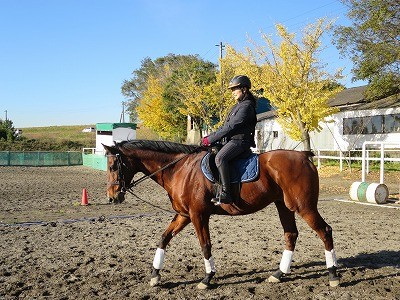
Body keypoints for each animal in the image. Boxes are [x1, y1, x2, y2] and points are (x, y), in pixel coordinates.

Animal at [102, 140, 338, 288]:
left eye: (113, 166)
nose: (112, 197)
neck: (180, 169)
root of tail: (304, 157)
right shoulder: (184, 215)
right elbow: (164, 238)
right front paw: (154, 276)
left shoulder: (198, 215)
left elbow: (205, 245)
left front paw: (207, 278)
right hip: (284, 206)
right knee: (291, 235)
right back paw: (278, 275)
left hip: (304, 207)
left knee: (325, 231)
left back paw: (333, 275)